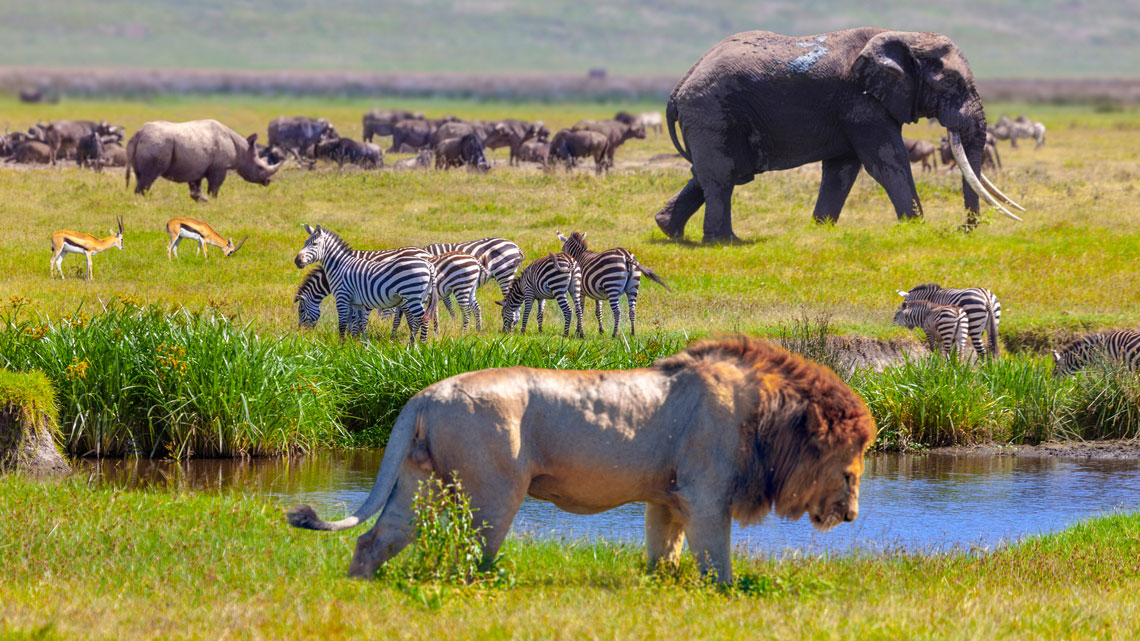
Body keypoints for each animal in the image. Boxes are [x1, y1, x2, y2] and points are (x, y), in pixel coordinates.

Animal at [287, 337, 876, 583]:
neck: (768, 417)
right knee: (470, 558)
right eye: (851, 465)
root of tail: (424, 394)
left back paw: (360, 586)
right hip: (493, 492)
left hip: (420, 482)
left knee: (375, 539)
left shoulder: (669, 498)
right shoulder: (706, 495)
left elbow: (664, 552)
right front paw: (724, 595)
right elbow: (718, 562)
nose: (852, 515)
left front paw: (660, 587)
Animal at [293, 225, 436, 343]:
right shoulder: (358, 299)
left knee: (420, 319)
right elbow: (359, 322)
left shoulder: (343, 296)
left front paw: (343, 345)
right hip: (420, 296)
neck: (339, 266)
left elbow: (345, 322)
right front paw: (360, 343)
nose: (301, 333)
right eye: (305, 243)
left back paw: (418, 345)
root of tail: (427, 261)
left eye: (301, 310)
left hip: (410, 295)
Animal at [653, 28, 1025, 242]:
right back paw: (725, 242)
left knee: (713, 174)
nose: (963, 230)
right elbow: (887, 162)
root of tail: (677, 89)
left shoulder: (853, 110)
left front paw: (820, 230)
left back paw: (669, 230)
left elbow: (842, 169)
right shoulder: (860, 101)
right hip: (711, 111)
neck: (903, 37)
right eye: (951, 83)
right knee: (723, 176)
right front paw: (916, 229)